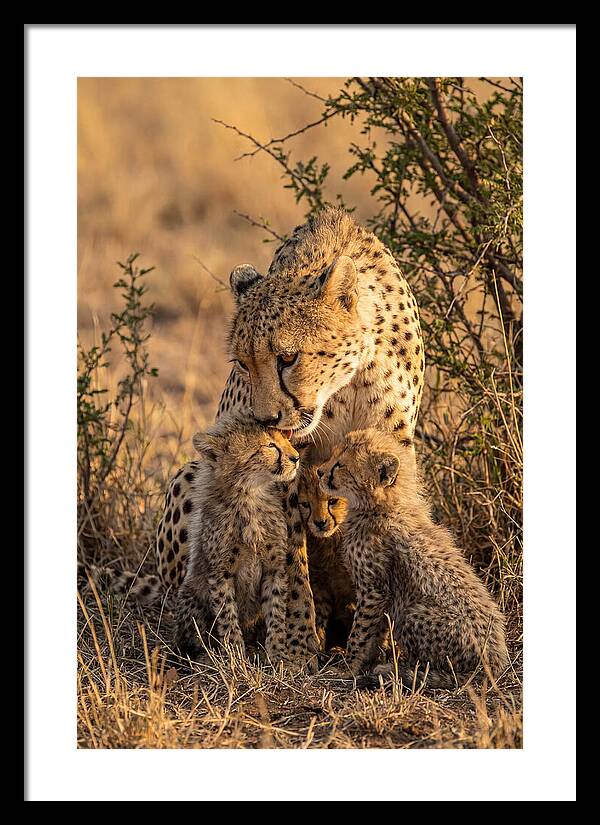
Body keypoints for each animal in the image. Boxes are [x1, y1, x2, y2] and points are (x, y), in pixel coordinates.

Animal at [174, 415, 299, 665]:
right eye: (270, 445)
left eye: (285, 439)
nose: (296, 457)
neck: (249, 496)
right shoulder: (220, 573)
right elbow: (227, 616)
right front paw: (235, 657)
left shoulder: (274, 568)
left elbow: (276, 612)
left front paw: (278, 655)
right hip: (191, 595)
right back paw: (205, 656)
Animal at [317, 428, 509, 689]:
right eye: (333, 456)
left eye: (340, 465)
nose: (319, 471)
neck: (381, 505)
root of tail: (496, 663)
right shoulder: (382, 594)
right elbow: (374, 632)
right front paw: (365, 662)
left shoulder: (374, 590)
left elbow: (360, 632)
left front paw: (348, 668)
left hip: (412, 612)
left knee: (436, 668)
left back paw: (398, 671)